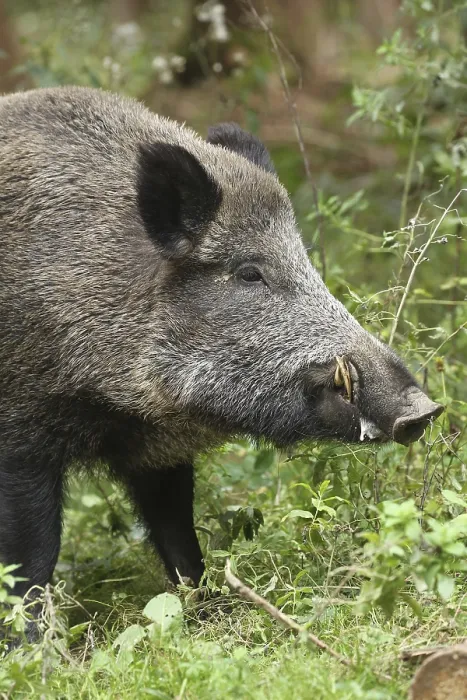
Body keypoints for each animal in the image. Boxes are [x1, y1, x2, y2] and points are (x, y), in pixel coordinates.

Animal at [0, 87, 442, 610]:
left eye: (306, 260)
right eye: (250, 272)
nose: (424, 409)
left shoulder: (158, 452)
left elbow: (179, 538)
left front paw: (204, 609)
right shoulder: (21, 438)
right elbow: (32, 560)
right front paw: (29, 633)